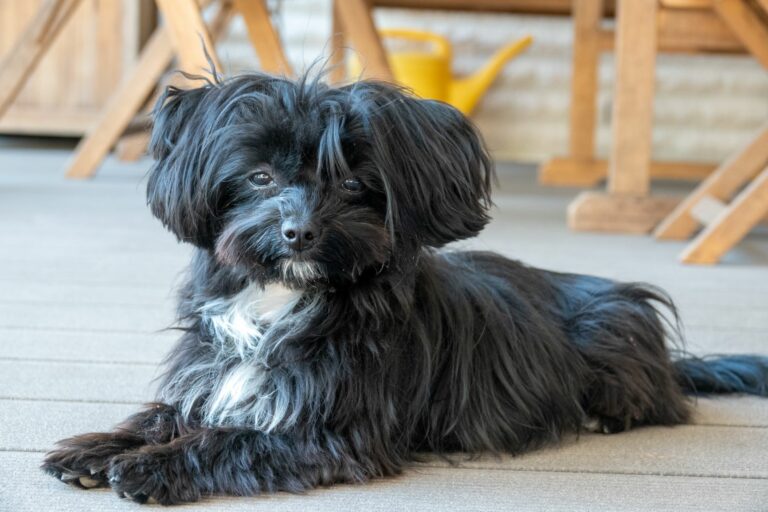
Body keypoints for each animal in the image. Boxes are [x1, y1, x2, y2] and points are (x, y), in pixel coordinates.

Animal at [43, 72, 768, 504]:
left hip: (615, 329)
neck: (283, 298)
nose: (298, 233)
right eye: (260, 177)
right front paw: (97, 447)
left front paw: (151, 467)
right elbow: (169, 412)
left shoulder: (332, 430)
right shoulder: (216, 373)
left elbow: (234, 439)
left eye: (351, 184)